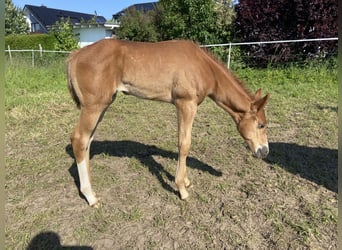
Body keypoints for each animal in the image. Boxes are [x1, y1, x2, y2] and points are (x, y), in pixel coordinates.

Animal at [67, 39, 270, 207]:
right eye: (261, 125)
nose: (264, 151)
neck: (203, 66)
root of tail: (75, 55)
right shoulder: (186, 104)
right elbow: (184, 144)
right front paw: (182, 189)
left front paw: (186, 180)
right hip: (94, 106)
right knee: (79, 139)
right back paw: (90, 197)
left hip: (103, 104)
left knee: (88, 141)